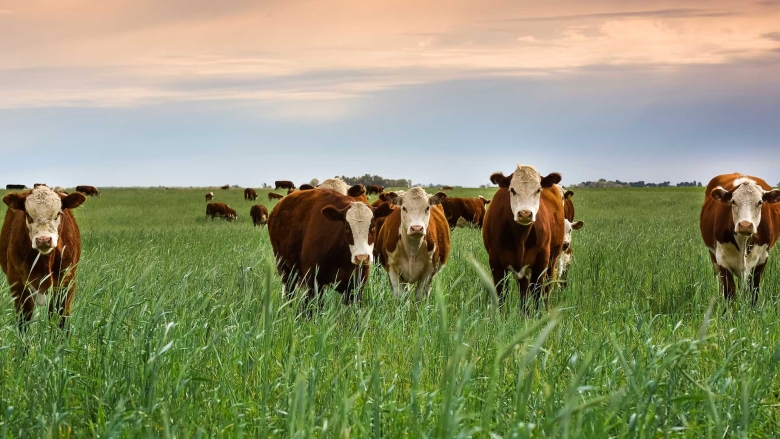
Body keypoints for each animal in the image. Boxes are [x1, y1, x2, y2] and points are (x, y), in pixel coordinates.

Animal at [1, 186, 87, 332]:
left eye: (58, 214)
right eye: (28, 215)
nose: (43, 240)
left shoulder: (66, 283)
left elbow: (60, 318)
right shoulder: (17, 284)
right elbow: (24, 320)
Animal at [482, 163, 565, 310]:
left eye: (538, 190)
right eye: (512, 190)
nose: (525, 214)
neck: (520, 237)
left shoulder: (541, 263)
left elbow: (538, 296)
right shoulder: (496, 265)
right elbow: (501, 295)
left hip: (552, 262)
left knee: (545, 290)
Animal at [700, 173, 780, 302]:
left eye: (760, 202)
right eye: (733, 201)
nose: (745, 225)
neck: (744, 241)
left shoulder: (762, 259)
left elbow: (754, 291)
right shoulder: (722, 259)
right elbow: (729, 292)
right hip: (713, 256)